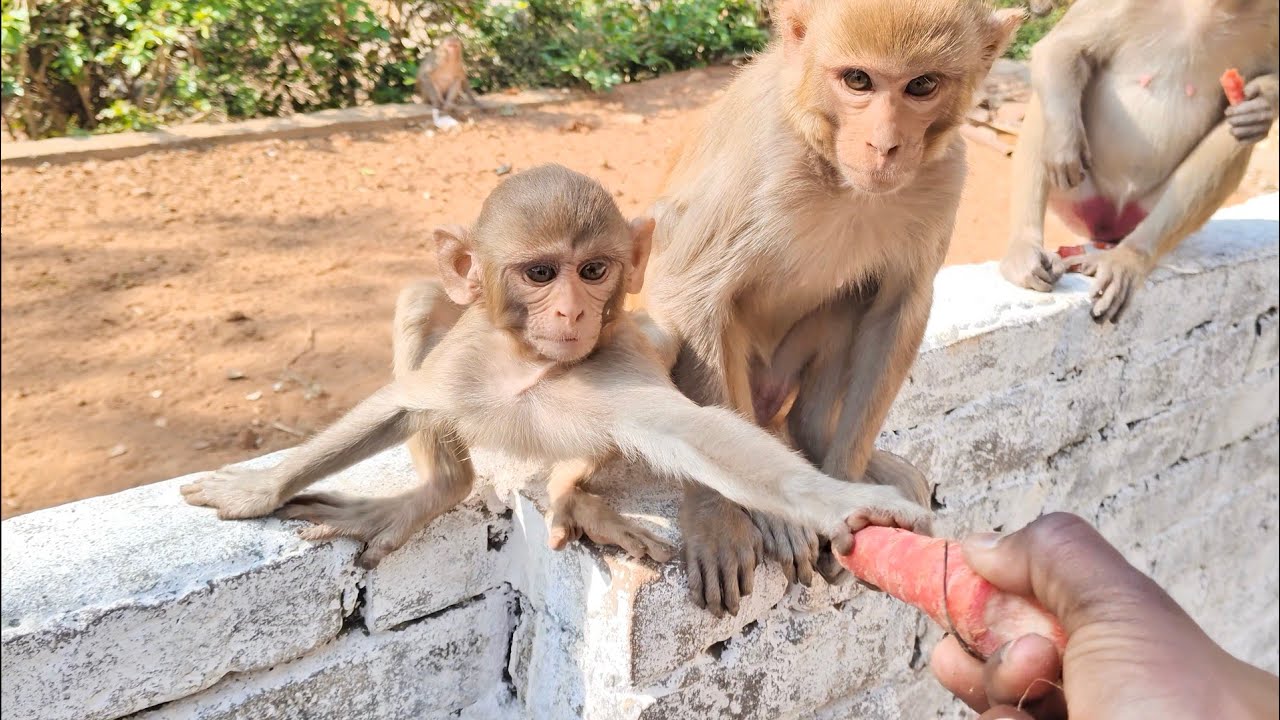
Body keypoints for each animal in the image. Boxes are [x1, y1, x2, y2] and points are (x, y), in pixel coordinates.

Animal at [181, 164, 930, 572]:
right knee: (420, 299)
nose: (572, 311)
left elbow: (694, 434)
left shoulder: (620, 365)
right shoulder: (467, 362)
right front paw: (260, 489)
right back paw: (442, 490)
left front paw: (840, 502)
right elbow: (404, 401)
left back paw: (570, 485)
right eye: (541, 273)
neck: (532, 370)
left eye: (593, 270)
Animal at [634, 0, 1022, 614]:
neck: (834, 172)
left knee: (857, 298)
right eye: (858, 80)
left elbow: (898, 307)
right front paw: (718, 518)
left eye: (922, 85)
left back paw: (817, 438)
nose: (885, 146)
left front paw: (851, 498)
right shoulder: (761, 158)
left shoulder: (944, 176)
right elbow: (688, 288)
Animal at [998, 0, 1279, 323]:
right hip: (1080, 198)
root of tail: (1110, 221)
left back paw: (1129, 256)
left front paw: (1262, 105)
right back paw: (1025, 249)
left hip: (1144, 210)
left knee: (1237, 134)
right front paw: (1064, 146)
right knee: (1049, 104)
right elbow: (1062, 47)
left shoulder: (1270, 16)